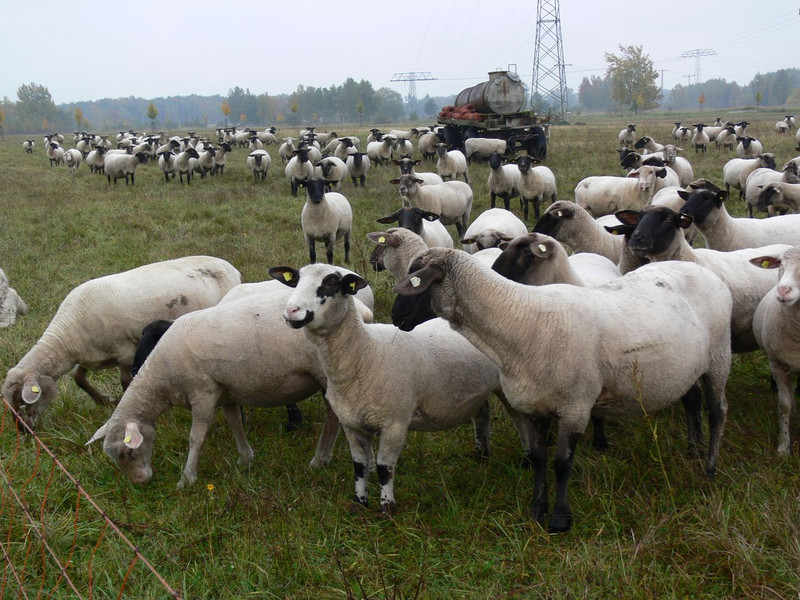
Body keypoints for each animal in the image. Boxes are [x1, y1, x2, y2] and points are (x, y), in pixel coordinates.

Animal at [2, 255, 241, 428]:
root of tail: (231, 267)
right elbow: (78, 378)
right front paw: (104, 401)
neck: (67, 335)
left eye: (22, 400)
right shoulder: (90, 355)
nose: (23, 430)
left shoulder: (126, 353)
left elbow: (126, 383)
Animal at [268, 262, 506, 510]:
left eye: (332, 283)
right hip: (478, 391)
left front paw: (387, 507)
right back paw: (482, 455)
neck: (366, 354)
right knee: (482, 413)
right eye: (296, 280)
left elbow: (384, 468)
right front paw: (360, 503)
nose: (291, 311)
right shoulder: (351, 424)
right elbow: (359, 466)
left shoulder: (395, 424)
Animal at [392, 246, 732, 532]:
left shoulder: (576, 407)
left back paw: (710, 467)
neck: (519, 320)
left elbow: (561, 463)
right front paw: (536, 508)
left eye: (417, 281)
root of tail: (703, 271)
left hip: (719, 357)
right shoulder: (533, 406)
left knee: (717, 412)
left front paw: (558, 519)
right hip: (684, 366)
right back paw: (692, 451)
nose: (396, 318)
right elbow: (539, 458)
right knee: (692, 400)